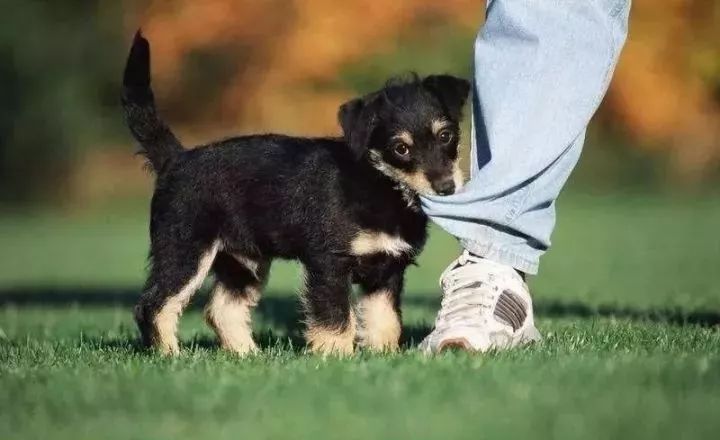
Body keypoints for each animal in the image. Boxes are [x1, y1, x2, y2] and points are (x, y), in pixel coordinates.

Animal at [121, 32, 470, 356]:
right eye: (400, 148)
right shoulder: (329, 263)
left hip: (243, 261)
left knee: (223, 309)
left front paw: (383, 355)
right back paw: (171, 355)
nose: (446, 187)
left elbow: (385, 320)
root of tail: (175, 159)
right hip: (184, 250)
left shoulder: (387, 269)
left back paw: (248, 355)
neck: (380, 182)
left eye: (446, 135)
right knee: (153, 305)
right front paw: (336, 357)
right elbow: (336, 317)